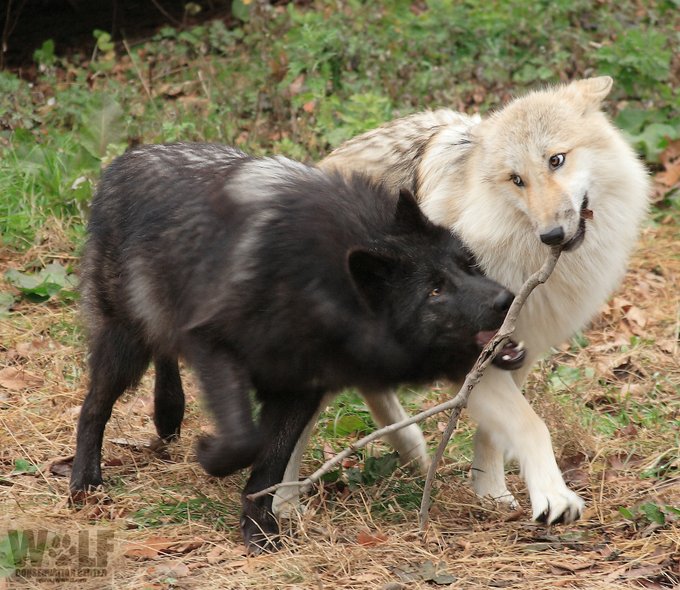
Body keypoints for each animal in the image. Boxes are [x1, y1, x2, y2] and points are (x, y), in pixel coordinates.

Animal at [69, 143, 524, 551]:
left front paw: (259, 529)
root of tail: (124, 161)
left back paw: (165, 418)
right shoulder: (213, 345)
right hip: (124, 345)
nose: (506, 300)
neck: (317, 286)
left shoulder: (301, 387)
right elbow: (244, 440)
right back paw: (84, 482)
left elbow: (269, 464)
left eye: (467, 264)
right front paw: (211, 459)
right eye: (434, 291)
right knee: (94, 407)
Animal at [275, 77, 649, 525]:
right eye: (516, 179)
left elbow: (494, 434)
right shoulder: (469, 358)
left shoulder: (516, 352)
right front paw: (553, 496)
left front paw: (491, 494)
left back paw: (413, 452)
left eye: (556, 160)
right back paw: (282, 505)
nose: (552, 236)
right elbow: (532, 425)